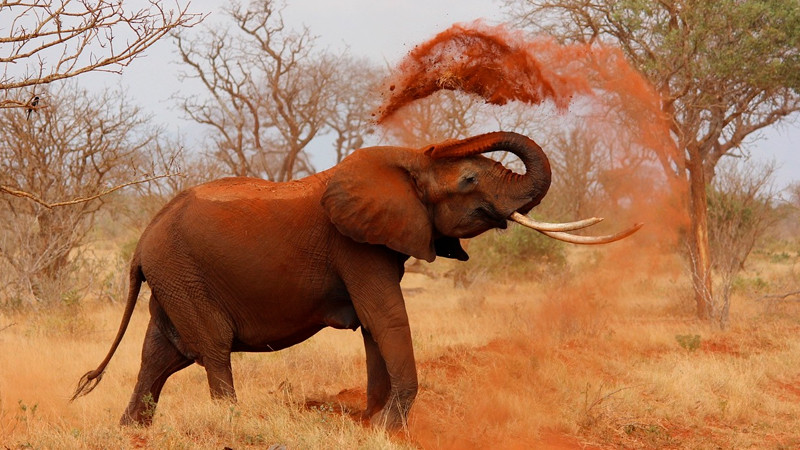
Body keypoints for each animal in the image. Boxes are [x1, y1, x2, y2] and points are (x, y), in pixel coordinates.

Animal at [72, 131, 640, 428]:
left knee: (161, 355)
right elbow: (385, 316)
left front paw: (372, 424)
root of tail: (142, 240)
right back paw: (230, 425)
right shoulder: (355, 246)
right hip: (183, 273)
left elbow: (375, 326)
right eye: (469, 179)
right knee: (210, 348)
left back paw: (131, 432)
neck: (407, 163)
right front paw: (390, 427)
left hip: (173, 278)